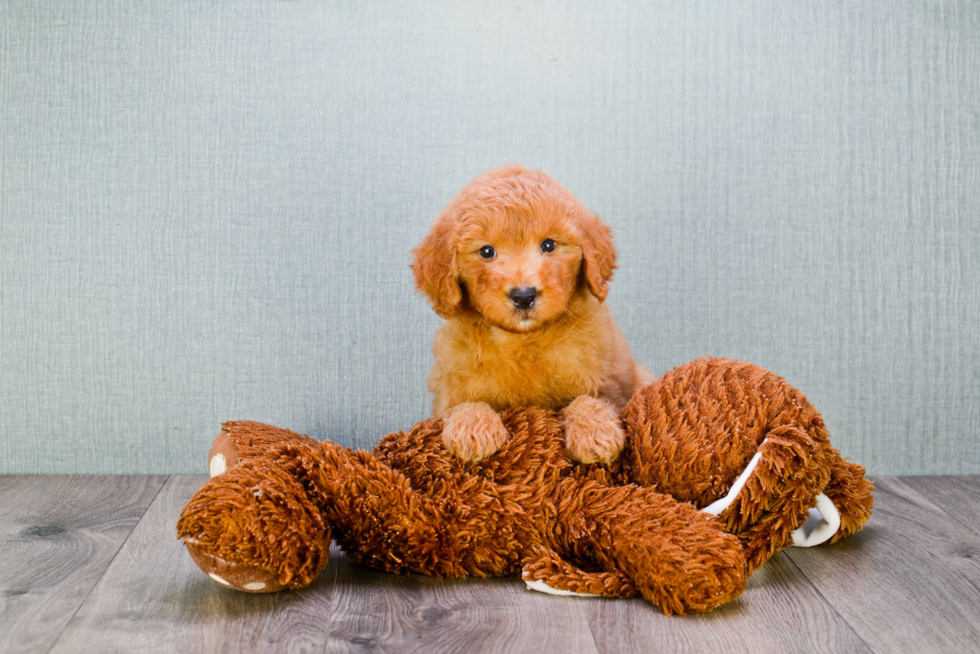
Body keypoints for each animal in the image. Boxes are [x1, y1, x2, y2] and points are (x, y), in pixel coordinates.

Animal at [410, 169, 656, 466]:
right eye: (487, 251)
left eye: (548, 245)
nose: (524, 296)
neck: (523, 340)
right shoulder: (447, 391)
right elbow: (463, 404)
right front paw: (472, 428)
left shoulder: (606, 383)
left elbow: (587, 400)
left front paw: (595, 432)